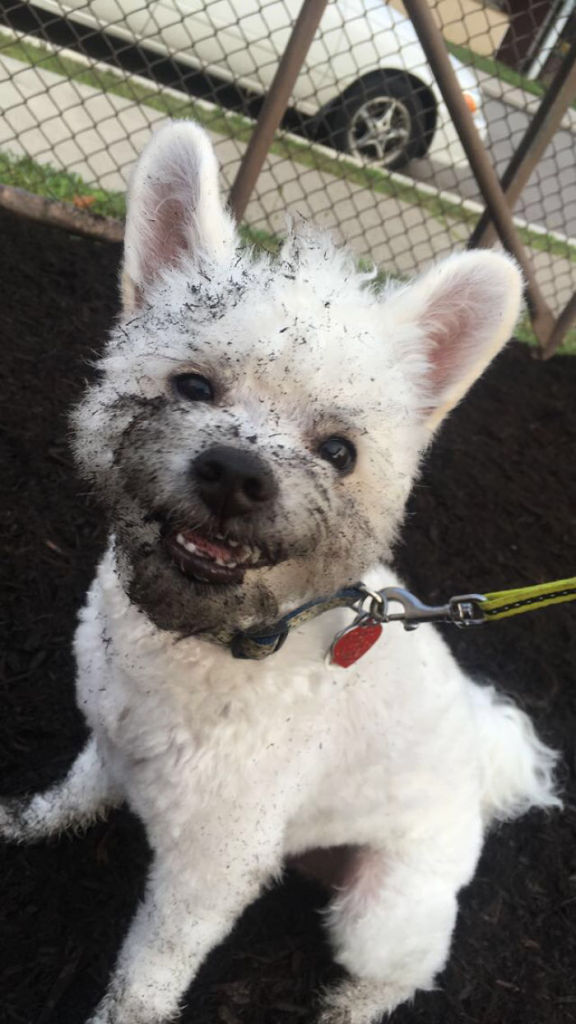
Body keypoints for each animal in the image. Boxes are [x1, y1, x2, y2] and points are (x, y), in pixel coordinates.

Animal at [0, 121, 557, 1024]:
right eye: (192, 385)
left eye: (340, 451)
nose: (235, 473)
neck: (217, 638)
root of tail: (485, 771)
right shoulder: (112, 737)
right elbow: (79, 788)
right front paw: (33, 819)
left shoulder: (210, 870)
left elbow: (145, 978)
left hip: (381, 914)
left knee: (404, 973)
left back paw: (348, 1008)